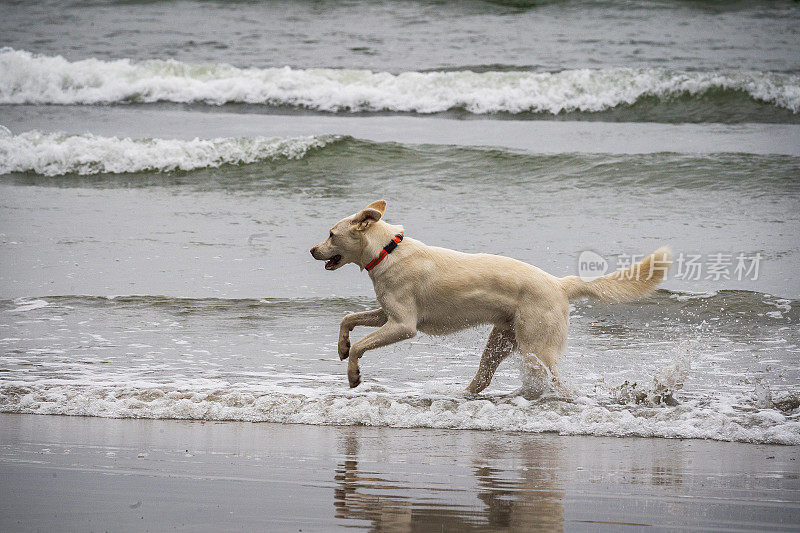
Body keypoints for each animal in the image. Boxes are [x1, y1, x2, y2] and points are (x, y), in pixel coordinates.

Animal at [310, 200, 672, 390]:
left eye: (330, 234)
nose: (311, 250)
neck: (386, 251)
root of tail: (559, 283)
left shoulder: (403, 325)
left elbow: (361, 344)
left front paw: (354, 374)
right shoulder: (387, 314)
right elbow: (348, 319)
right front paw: (341, 347)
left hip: (536, 346)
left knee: (552, 380)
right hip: (500, 341)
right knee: (483, 377)